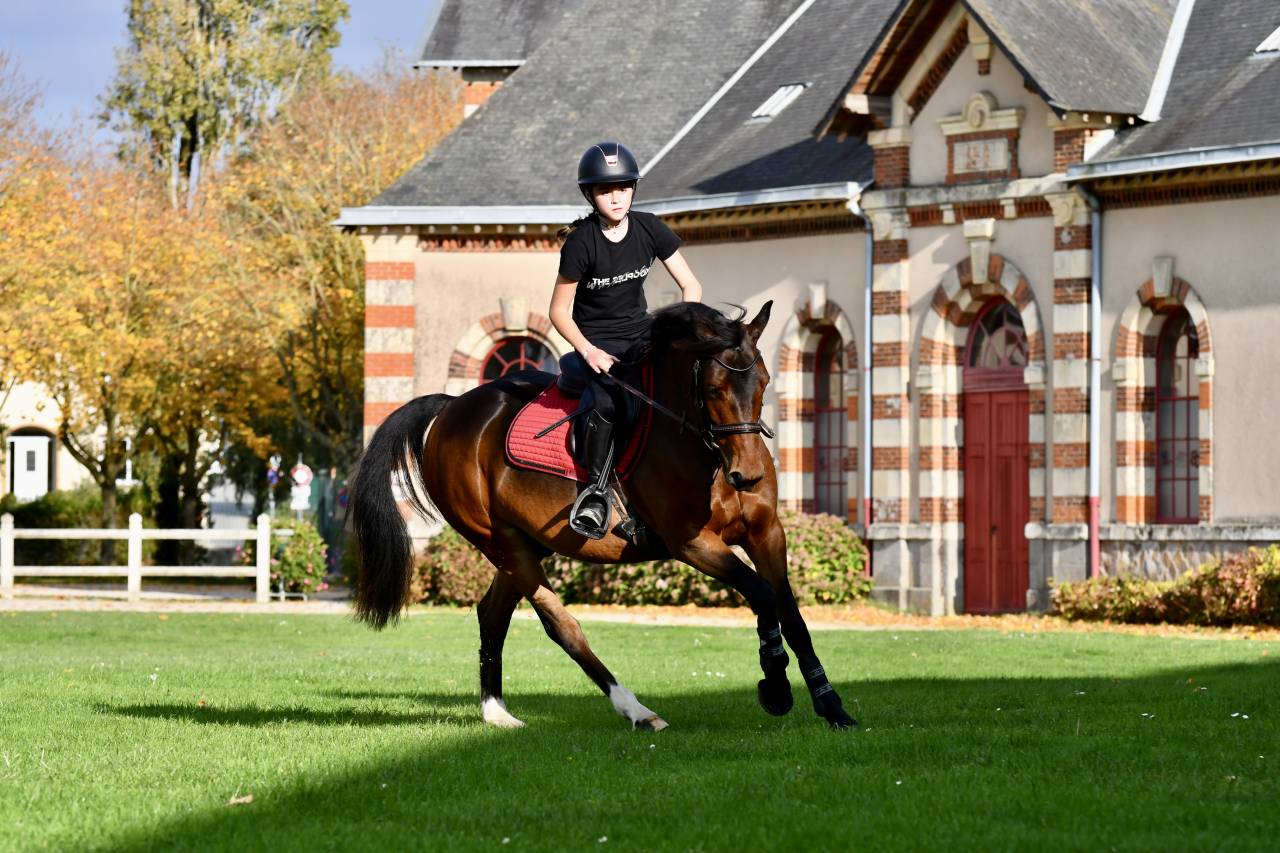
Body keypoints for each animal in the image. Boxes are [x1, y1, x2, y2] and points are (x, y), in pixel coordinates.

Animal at [349, 300, 857, 731]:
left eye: (765, 383)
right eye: (713, 389)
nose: (746, 476)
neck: (706, 450)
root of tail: (452, 407)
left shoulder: (766, 532)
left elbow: (791, 613)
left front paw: (831, 705)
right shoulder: (692, 542)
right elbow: (761, 594)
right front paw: (775, 685)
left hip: (525, 542)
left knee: (492, 614)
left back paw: (496, 713)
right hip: (501, 542)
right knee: (562, 627)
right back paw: (636, 709)